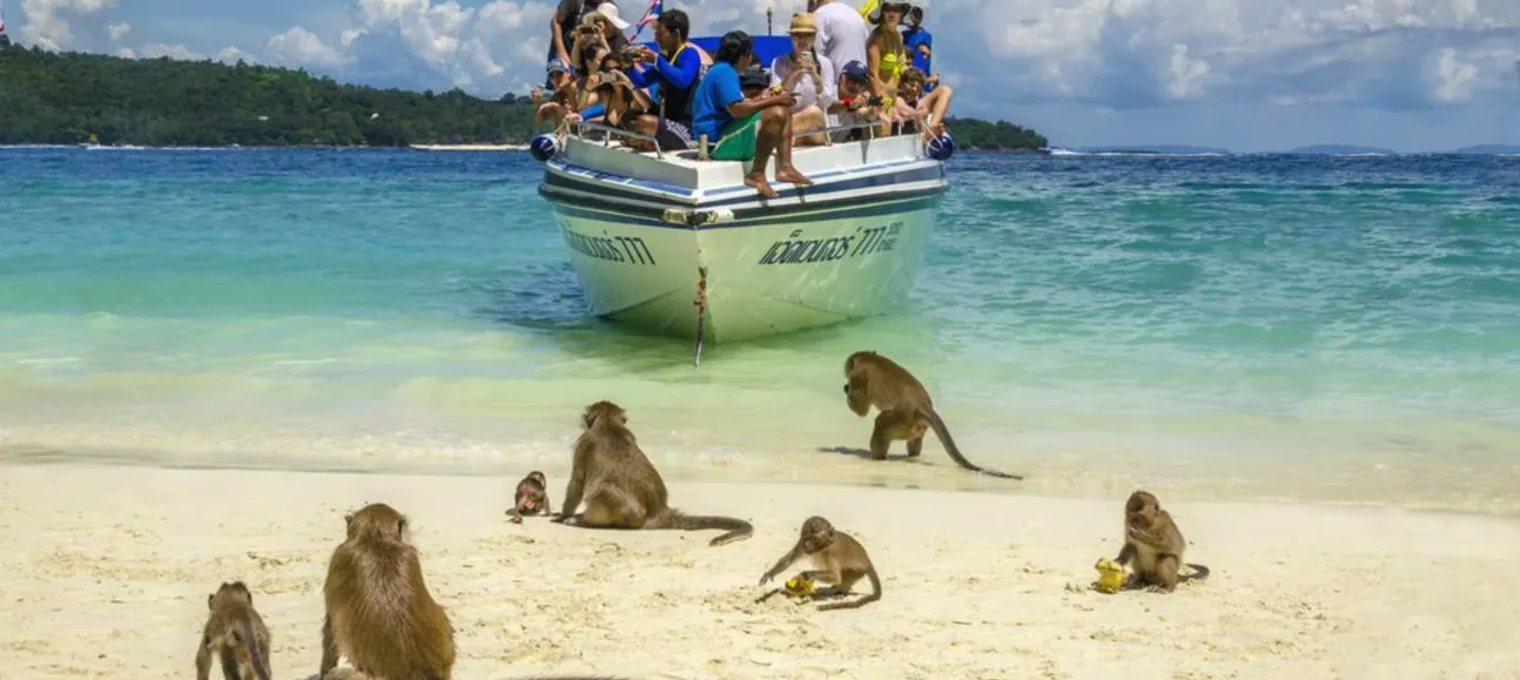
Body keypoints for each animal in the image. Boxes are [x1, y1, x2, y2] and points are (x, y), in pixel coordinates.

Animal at [550, 400, 753, 547]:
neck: (608, 423)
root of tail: (660, 510)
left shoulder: (582, 444)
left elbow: (576, 483)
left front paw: (562, 515)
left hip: (628, 514)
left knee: (600, 489)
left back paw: (584, 521)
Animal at [842, 350, 1023, 480]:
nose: (845, 368)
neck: (868, 358)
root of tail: (923, 406)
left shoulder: (858, 376)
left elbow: (860, 410)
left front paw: (847, 389)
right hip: (914, 425)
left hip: (900, 418)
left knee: (881, 422)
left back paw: (875, 458)